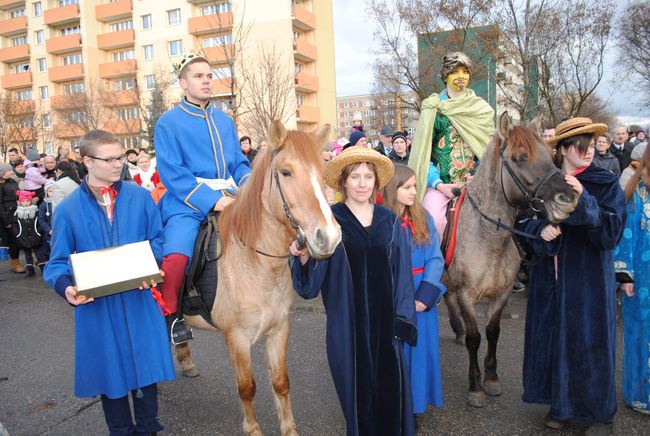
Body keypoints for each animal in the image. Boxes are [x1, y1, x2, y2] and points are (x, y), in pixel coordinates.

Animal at [175, 122, 342, 436]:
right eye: (286, 172)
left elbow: (281, 382)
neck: (257, 263)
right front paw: (252, 428)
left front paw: (289, 429)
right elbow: (247, 388)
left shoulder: (279, 329)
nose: (329, 238)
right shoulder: (237, 338)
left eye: (322, 171)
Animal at [440, 114, 576, 408]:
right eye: (519, 158)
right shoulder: (468, 295)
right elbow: (475, 337)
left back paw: (456, 329)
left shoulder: (501, 293)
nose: (568, 199)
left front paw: (491, 378)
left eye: (551, 155)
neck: (489, 235)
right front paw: (475, 386)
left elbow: (493, 331)